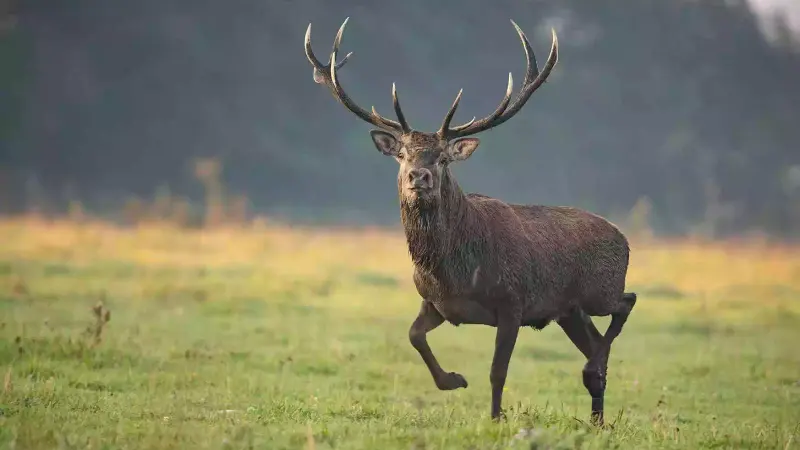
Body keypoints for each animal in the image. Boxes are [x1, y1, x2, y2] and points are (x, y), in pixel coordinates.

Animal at [303, 17, 638, 425]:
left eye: (443, 158)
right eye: (402, 154)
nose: (419, 176)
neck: (454, 272)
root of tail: (624, 238)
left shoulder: (513, 302)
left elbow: (498, 371)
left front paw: (495, 419)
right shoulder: (436, 303)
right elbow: (414, 336)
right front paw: (454, 380)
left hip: (598, 291)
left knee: (625, 303)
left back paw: (594, 379)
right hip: (569, 311)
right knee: (596, 345)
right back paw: (597, 419)